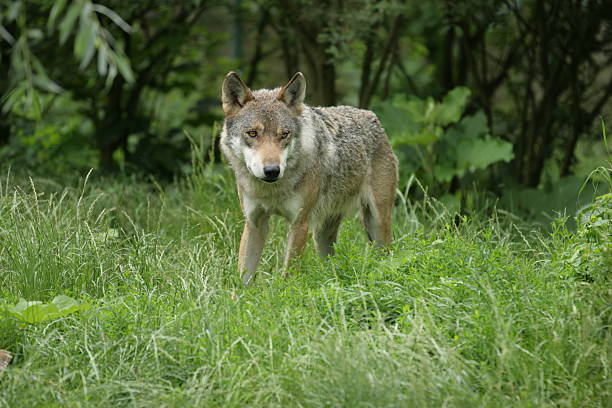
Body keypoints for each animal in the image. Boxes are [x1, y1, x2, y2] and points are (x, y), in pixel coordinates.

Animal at [220, 71, 396, 284]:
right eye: (252, 133)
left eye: (284, 134)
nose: (272, 170)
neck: (272, 191)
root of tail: (372, 116)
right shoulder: (254, 223)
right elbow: (243, 277)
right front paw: (238, 294)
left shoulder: (299, 224)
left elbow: (288, 273)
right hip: (321, 235)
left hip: (377, 222)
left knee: (386, 254)